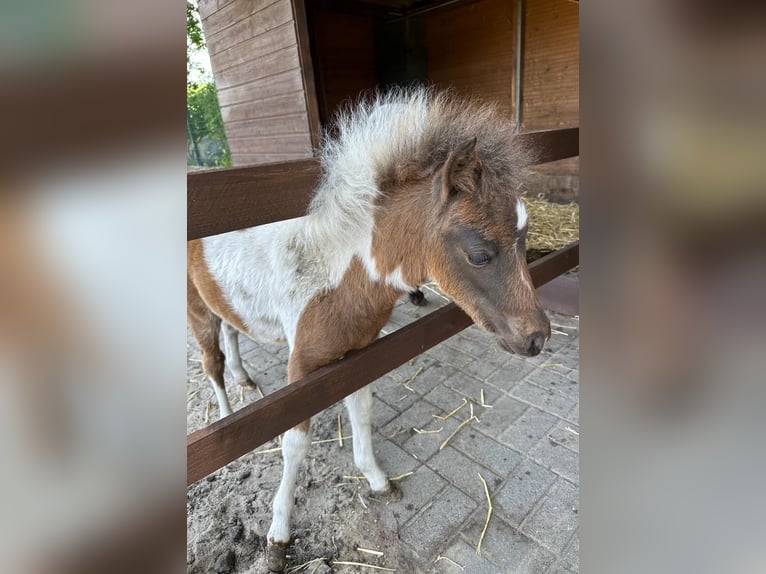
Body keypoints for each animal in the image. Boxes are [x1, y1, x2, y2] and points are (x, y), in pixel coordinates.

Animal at [190, 89, 556, 572]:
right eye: (479, 254)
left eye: (525, 237)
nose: (537, 337)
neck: (333, 273)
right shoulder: (300, 370)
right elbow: (294, 445)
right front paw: (278, 536)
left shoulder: (359, 354)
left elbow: (361, 413)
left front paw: (378, 481)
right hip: (194, 309)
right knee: (210, 360)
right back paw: (226, 414)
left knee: (231, 331)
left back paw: (245, 379)